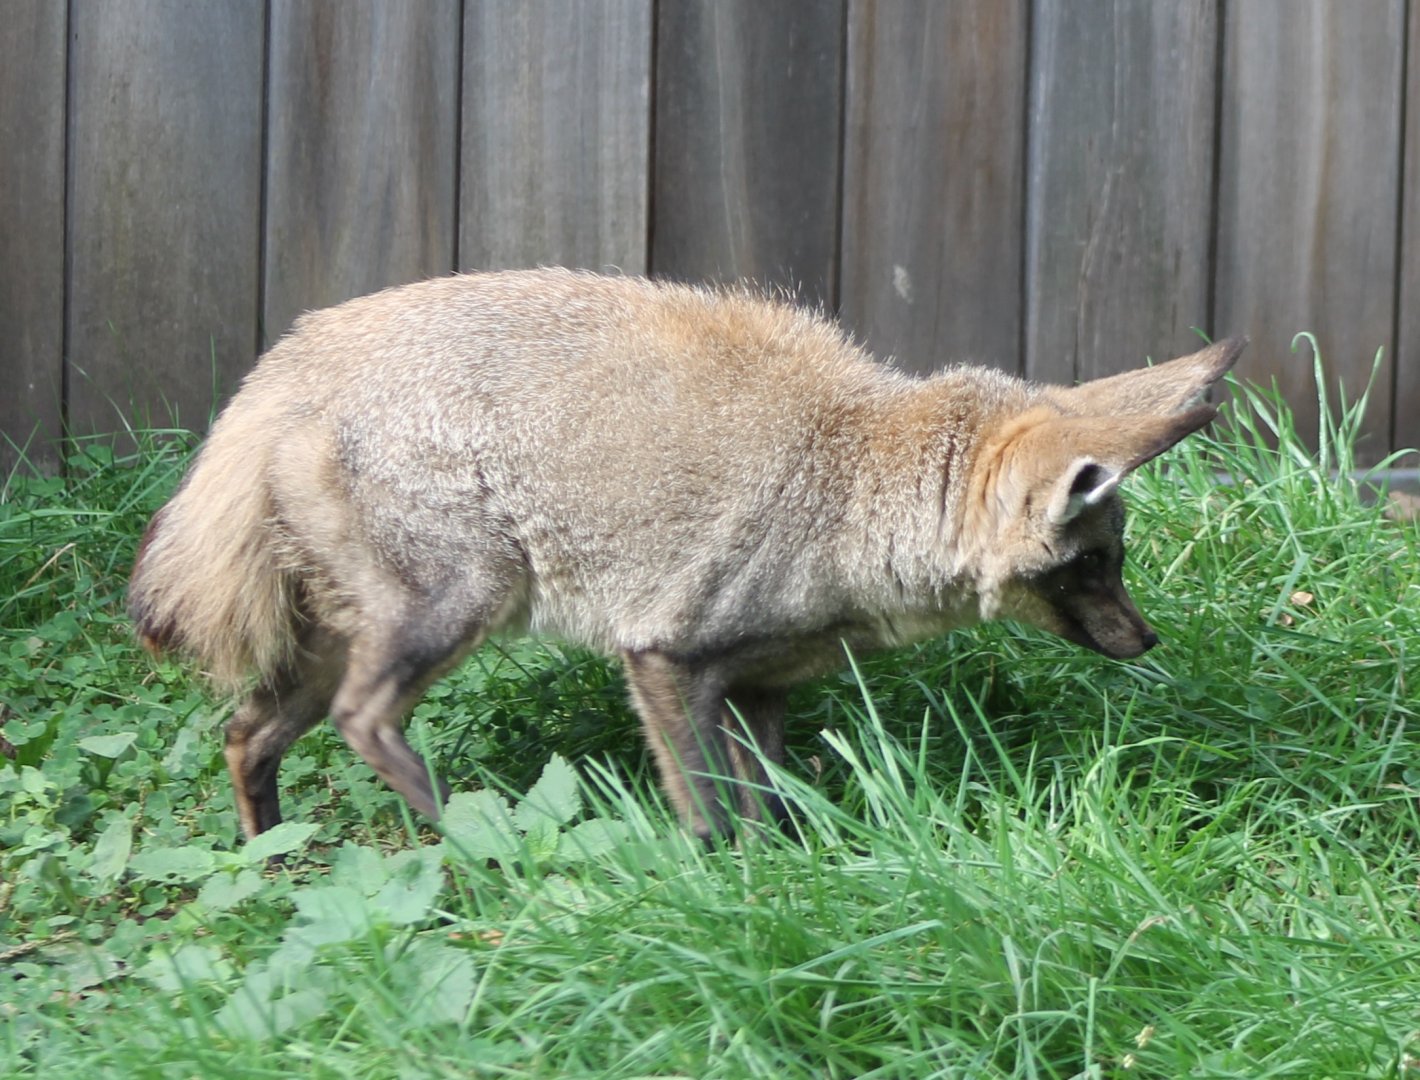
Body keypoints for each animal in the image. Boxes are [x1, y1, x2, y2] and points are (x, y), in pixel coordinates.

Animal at [128, 268, 1245, 845]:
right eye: (1093, 564)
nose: (1147, 641)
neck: (845, 478)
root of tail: (288, 362)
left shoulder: (759, 691)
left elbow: (771, 814)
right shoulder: (663, 662)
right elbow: (708, 819)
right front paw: (715, 896)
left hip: (330, 647)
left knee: (246, 735)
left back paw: (272, 864)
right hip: (452, 609)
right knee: (365, 723)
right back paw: (481, 845)